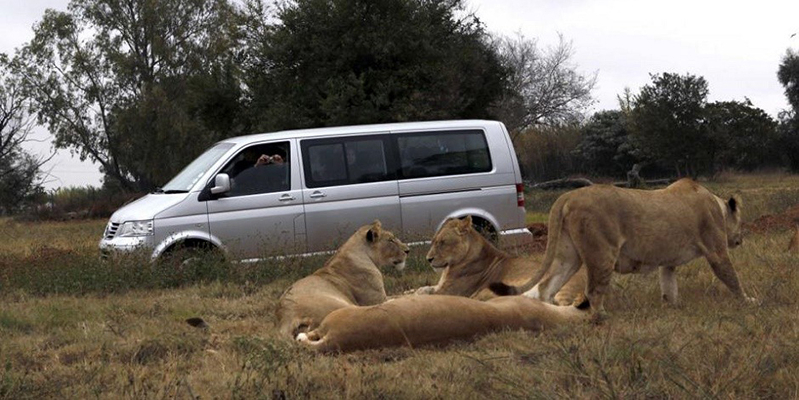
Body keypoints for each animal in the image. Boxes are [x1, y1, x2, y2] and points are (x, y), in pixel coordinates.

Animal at [278, 220, 410, 340]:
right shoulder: (377, 299)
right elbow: (398, 296)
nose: (408, 250)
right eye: (390, 240)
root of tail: (286, 316)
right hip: (342, 305)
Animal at [416, 217, 584, 304]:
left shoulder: (450, 291)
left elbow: (425, 295)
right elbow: (423, 289)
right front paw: (418, 290)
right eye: (433, 241)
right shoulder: (440, 286)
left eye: (443, 242)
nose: (428, 259)